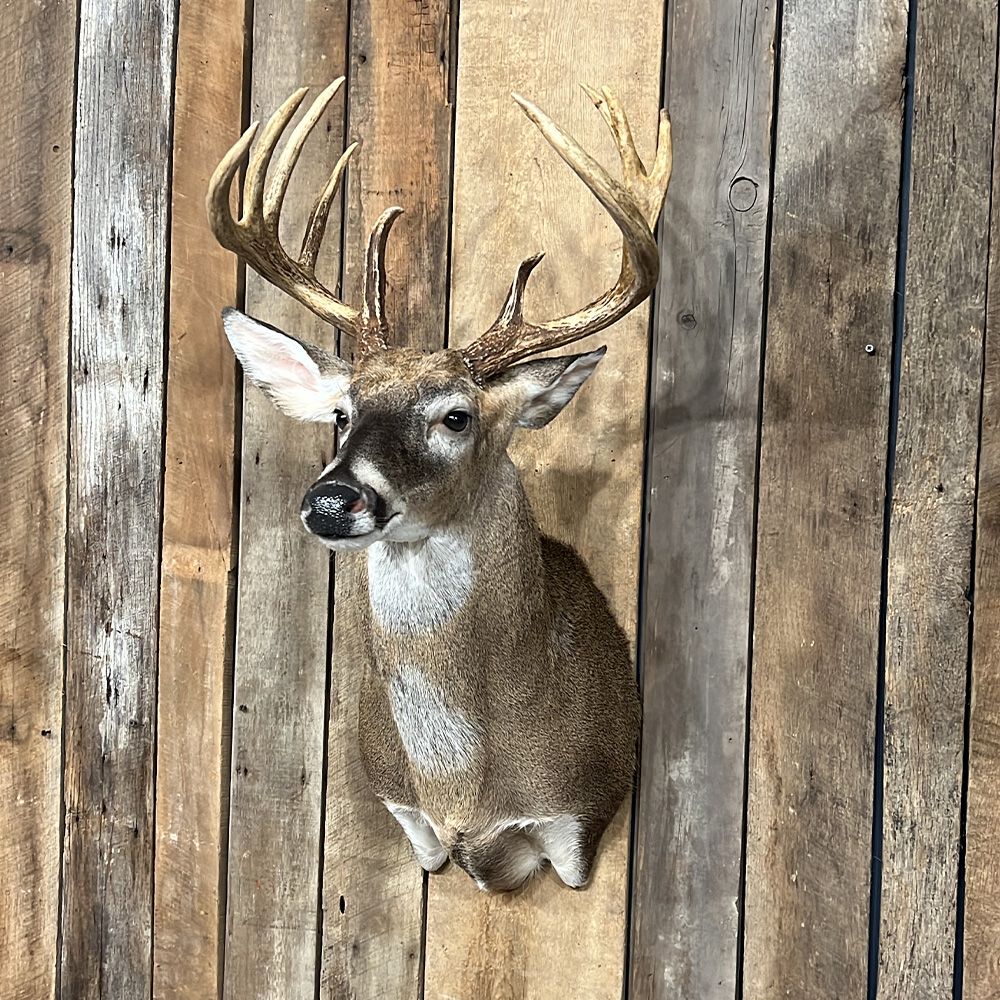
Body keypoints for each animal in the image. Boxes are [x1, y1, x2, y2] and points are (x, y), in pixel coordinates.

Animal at [207, 77, 671, 892]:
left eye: (457, 416)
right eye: (342, 413)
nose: (332, 500)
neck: (460, 792)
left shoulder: (576, 819)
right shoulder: (404, 811)